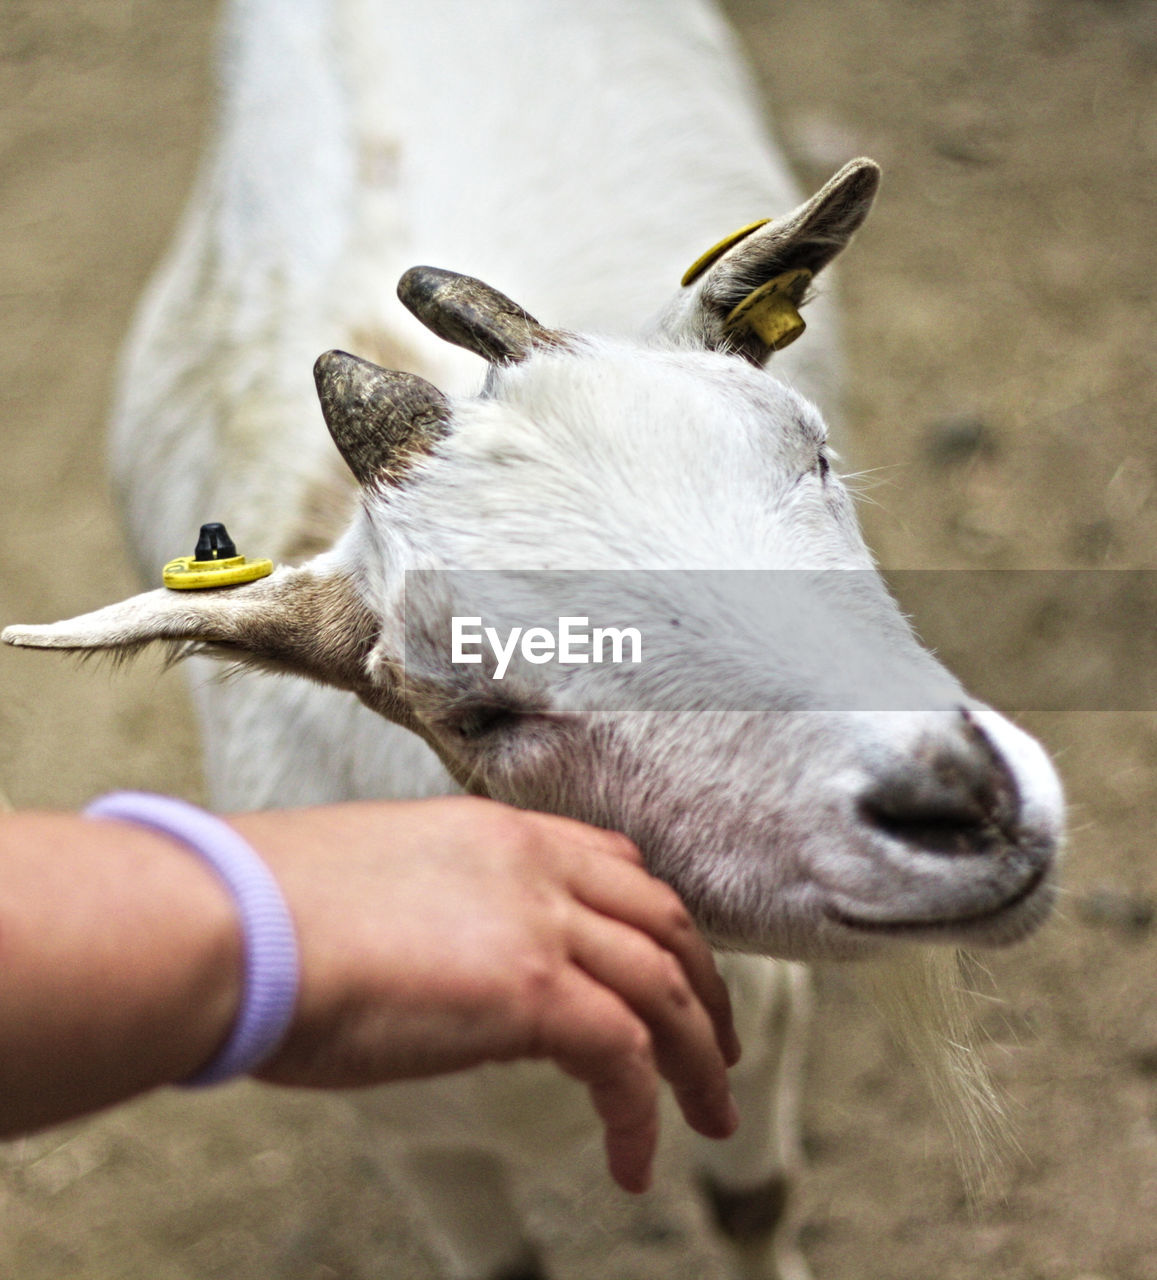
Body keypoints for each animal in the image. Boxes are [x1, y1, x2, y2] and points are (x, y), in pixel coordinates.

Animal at [2, 2, 1064, 1280]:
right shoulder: (416, 1141)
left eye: (810, 454)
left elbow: (752, 1205)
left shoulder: (759, 1028)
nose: (961, 800)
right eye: (475, 709)